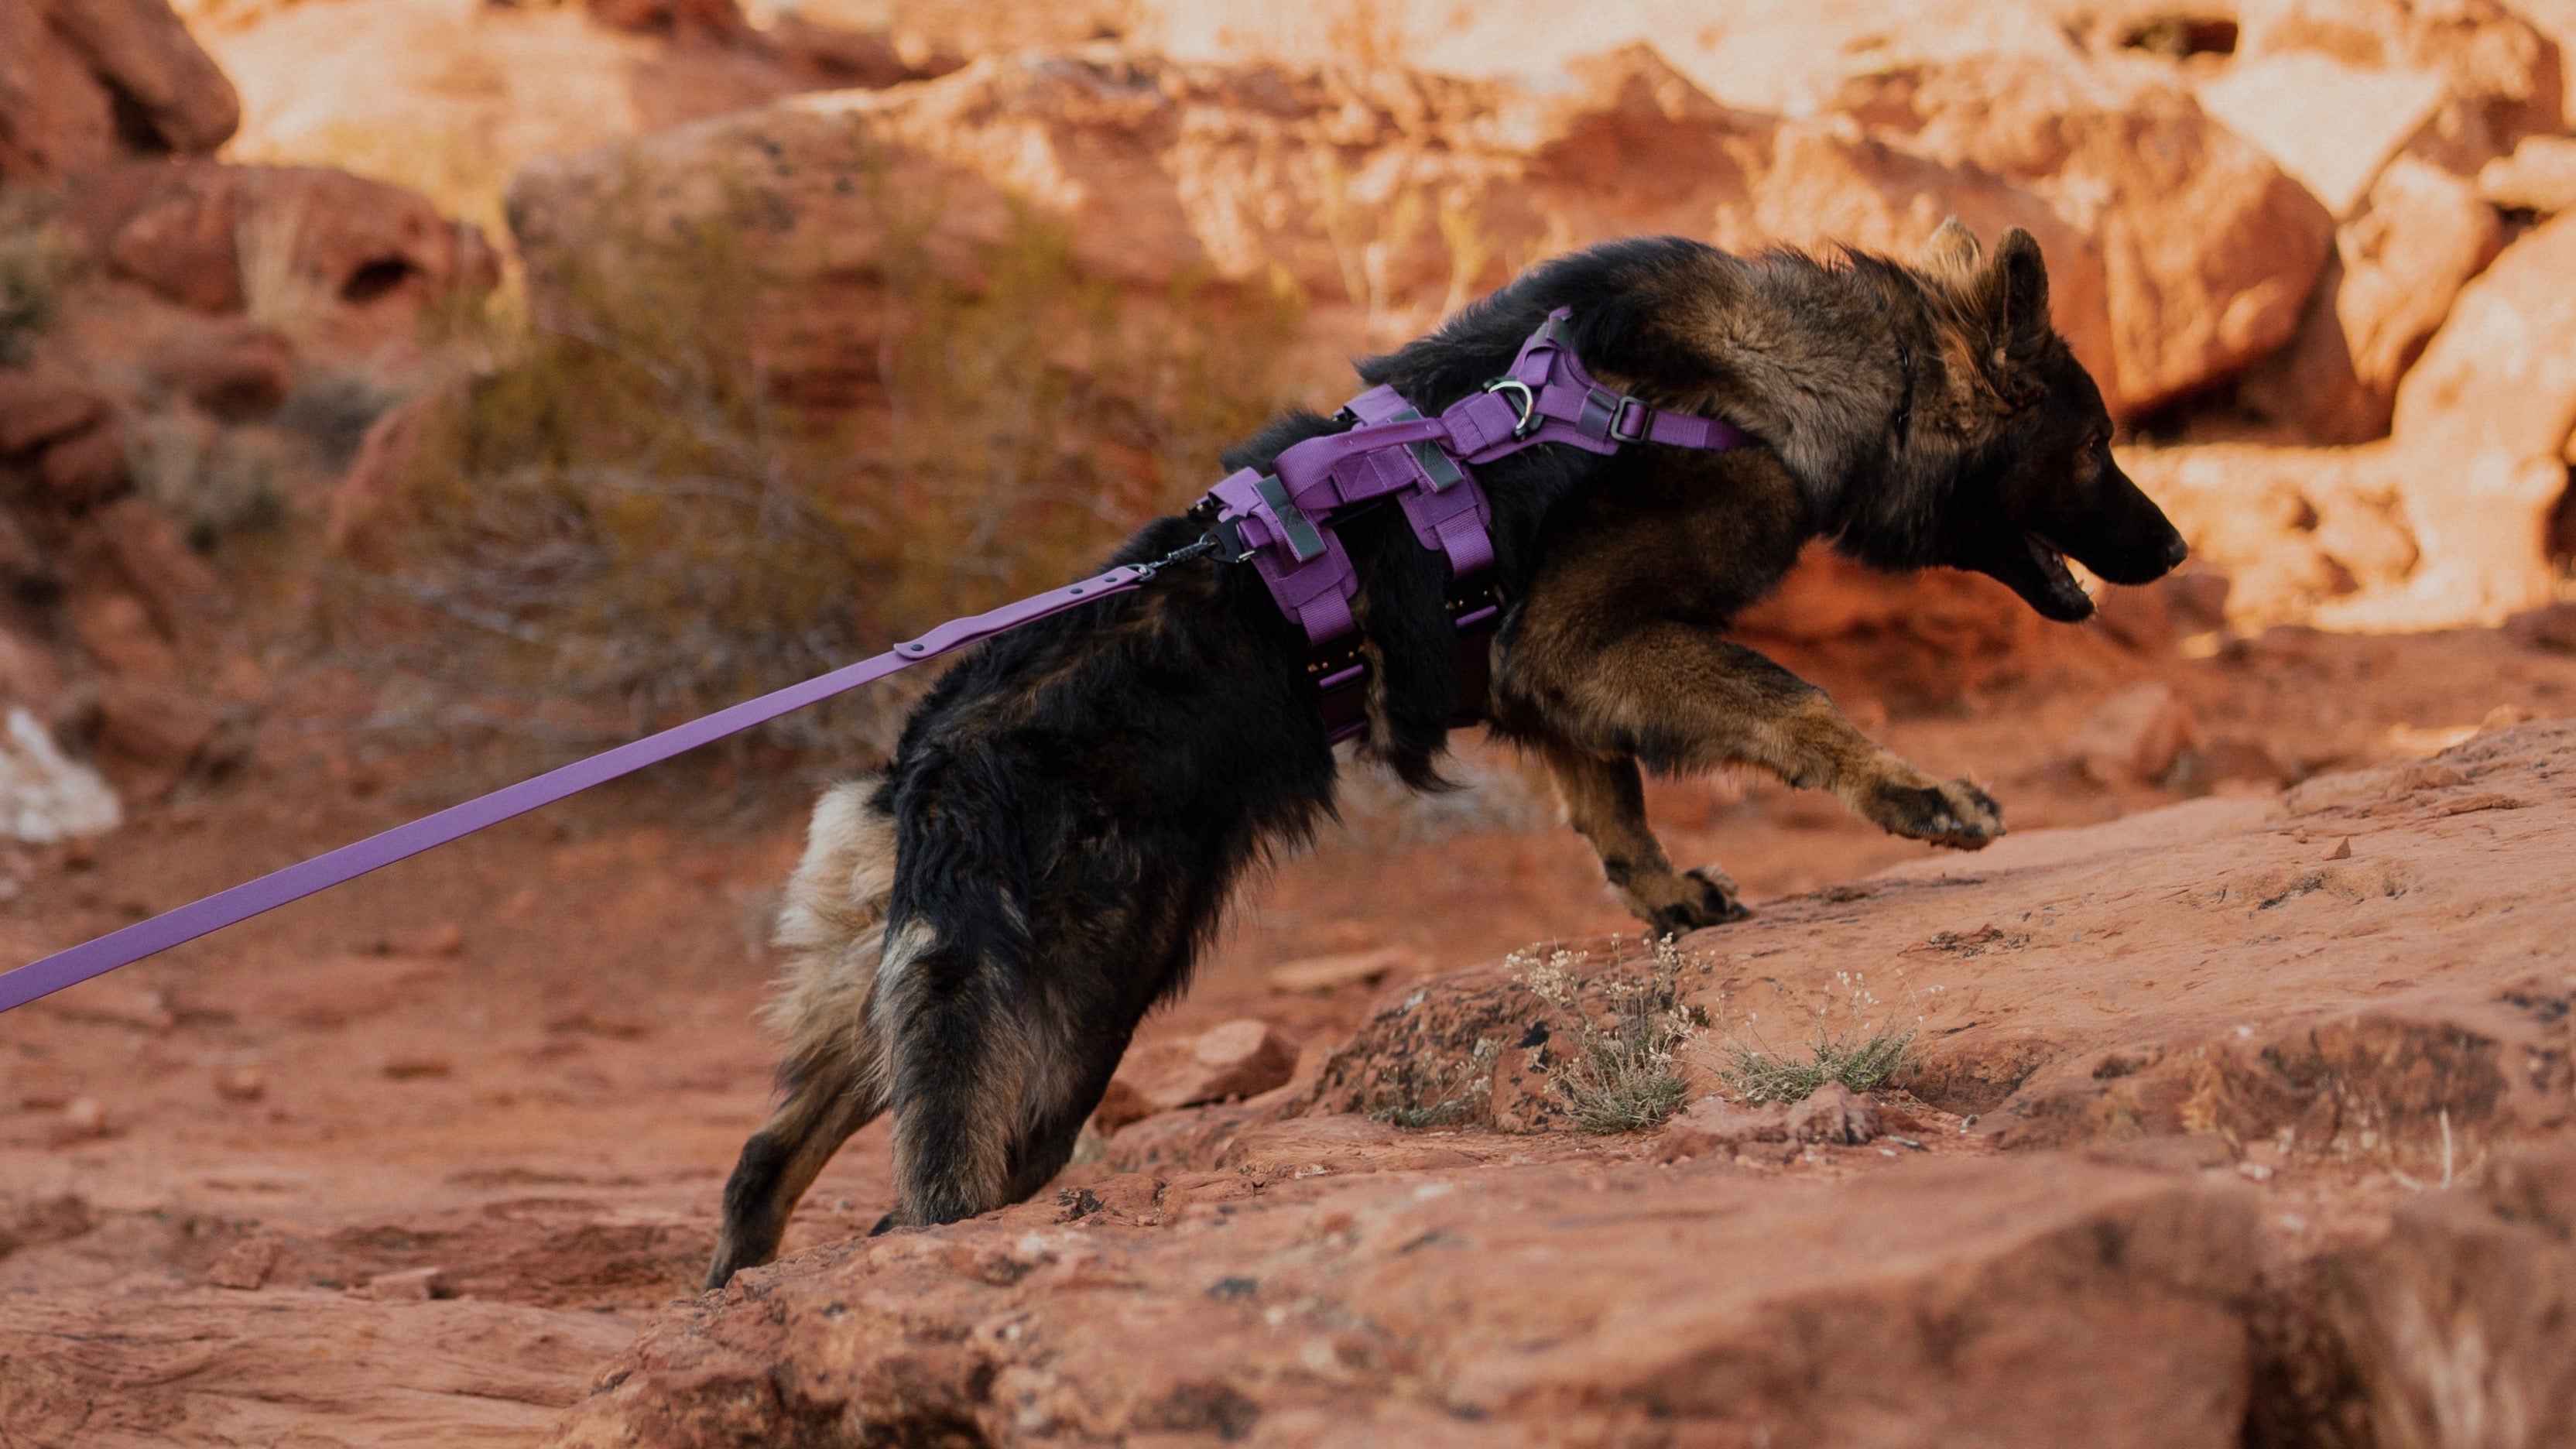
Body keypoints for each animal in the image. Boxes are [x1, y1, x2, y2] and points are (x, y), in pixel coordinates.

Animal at [711, 220, 2194, 1279]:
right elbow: (1786, 703)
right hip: (1062, 1029)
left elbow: (1612, 800)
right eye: (2096, 444)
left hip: (898, 1005)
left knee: (758, 1162)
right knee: (930, 1195)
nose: (2178, 549)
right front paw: (1914, 793)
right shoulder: (1579, 638)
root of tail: (923, 761)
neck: (1777, 377)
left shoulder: (1546, 677)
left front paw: (1667, 897)